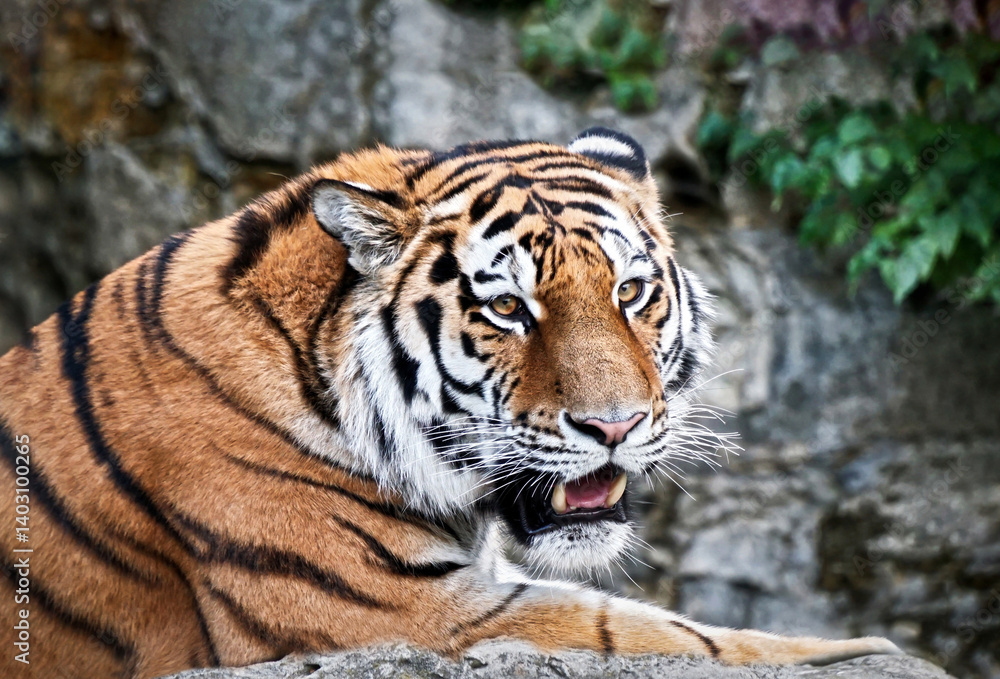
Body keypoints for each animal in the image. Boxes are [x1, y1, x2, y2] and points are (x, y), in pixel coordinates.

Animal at [0, 127, 902, 679]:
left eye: (630, 291)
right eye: (507, 308)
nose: (614, 425)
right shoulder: (410, 615)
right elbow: (665, 633)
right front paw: (861, 644)